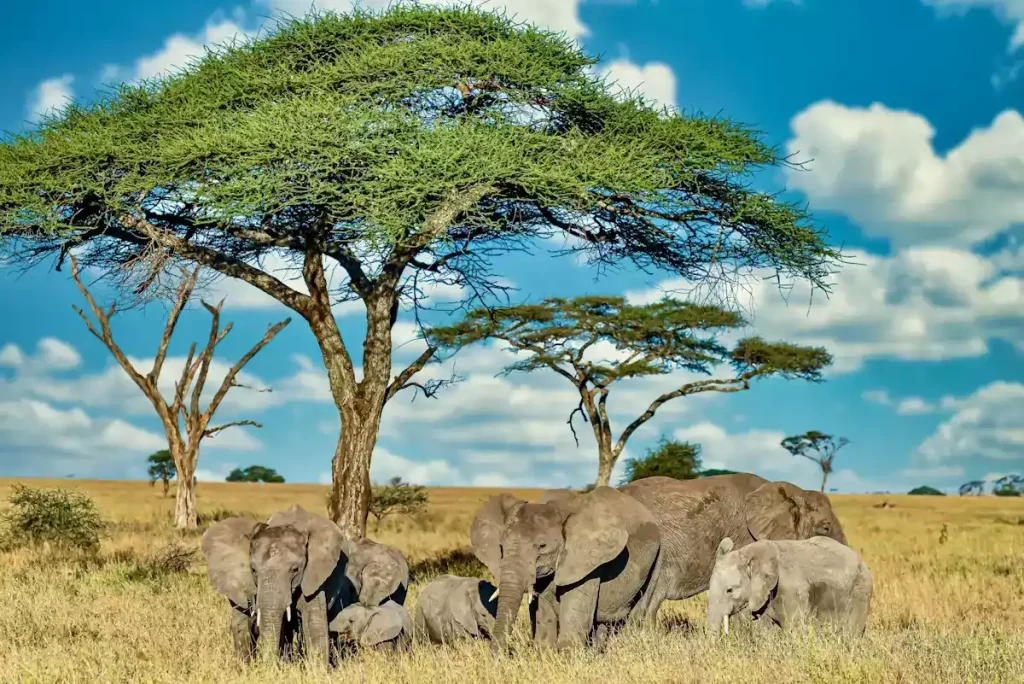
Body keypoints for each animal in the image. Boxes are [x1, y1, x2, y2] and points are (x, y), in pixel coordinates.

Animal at [469, 485, 661, 651]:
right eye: (501, 547)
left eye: (542, 546)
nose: (500, 657)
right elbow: (543, 615)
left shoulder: (586, 561)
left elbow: (575, 619)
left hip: (658, 557)